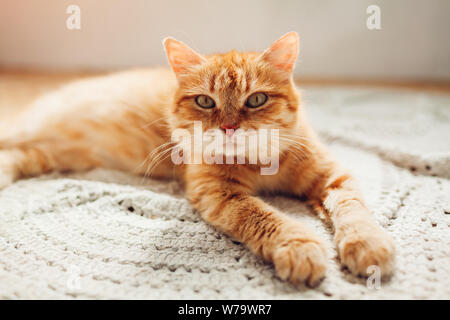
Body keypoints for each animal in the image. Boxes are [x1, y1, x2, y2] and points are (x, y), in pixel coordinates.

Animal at [0, 32, 394, 286]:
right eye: (205, 101)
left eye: (256, 100)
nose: (229, 127)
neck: (260, 163)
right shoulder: (220, 193)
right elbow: (266, 217)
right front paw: (299, 246)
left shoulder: (333, 176)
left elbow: (354, 210)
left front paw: (368, 245)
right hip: (30, 131)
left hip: (54, 154)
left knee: (19, 155)